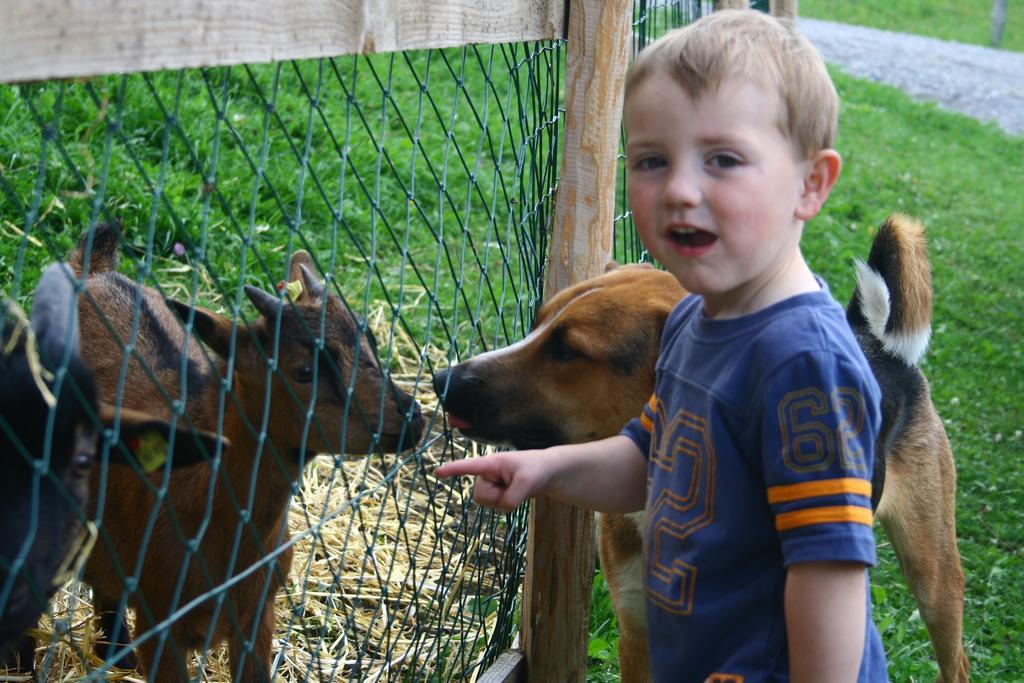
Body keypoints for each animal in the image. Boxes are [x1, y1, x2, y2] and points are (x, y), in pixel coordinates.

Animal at [71, 225, 423, 683]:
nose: (411, 418)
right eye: (303, 371)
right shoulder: (159, 623)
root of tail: (94, 273)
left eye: (370, 339)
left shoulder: (258, 616)